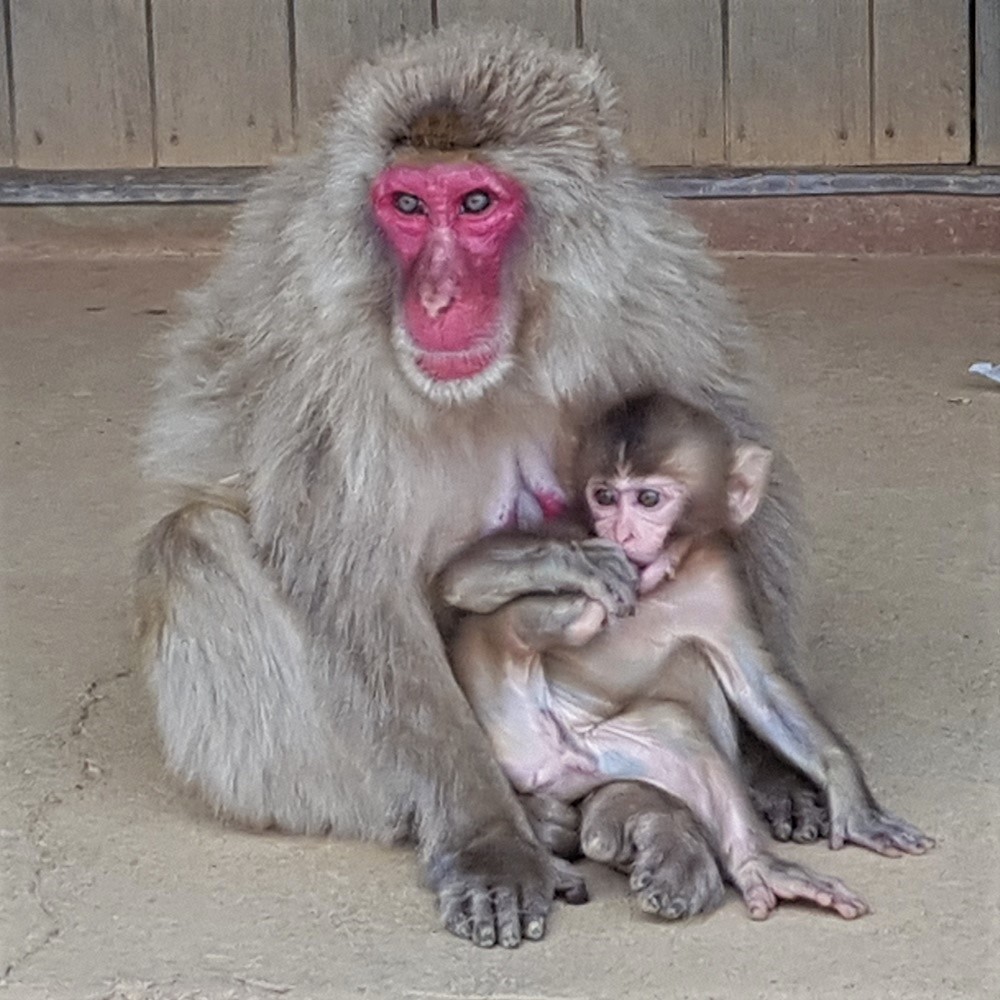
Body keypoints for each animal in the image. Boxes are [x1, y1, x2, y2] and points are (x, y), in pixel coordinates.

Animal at [138, 25, 838, 947]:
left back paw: (650, 820)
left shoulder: (655, 299)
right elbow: (354, 585)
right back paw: (552, 820)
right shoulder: (320, 366)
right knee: (195, 544)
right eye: (406, 205)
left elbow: (741, 499)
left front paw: (773, 764)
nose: (435, 297)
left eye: (475, 203)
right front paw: (487, 841)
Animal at [440, 394, 932, 920]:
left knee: (680, 731)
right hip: (503, 722)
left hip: (601, 755)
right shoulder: (570, 525)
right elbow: (460, 574)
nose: (621, 533)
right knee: (493, 623)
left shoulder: (721, 570)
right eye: (605, 497)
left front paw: (852, 799)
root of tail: (548, 767)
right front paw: (583, 564)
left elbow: (759, 685)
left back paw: (758, 865)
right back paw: (571, 613)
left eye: (648, 500)